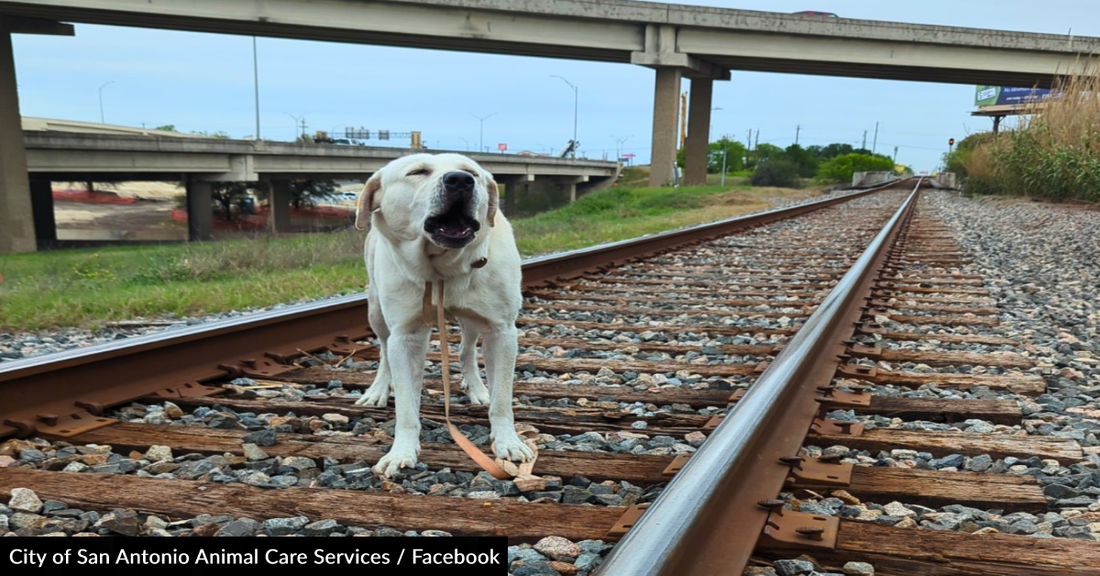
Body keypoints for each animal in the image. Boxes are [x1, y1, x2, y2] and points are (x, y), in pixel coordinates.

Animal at [354, 152, 534, 477]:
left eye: (471, 172)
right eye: (417, 172)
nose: (460, 181)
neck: (441, 269)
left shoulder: (502, 331)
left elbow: (502, 398)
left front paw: (508, 442)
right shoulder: (405, 336)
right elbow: (406, 406)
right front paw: (401, 451)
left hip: (474, 320)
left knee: (466, 350)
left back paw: (477, 388)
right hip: (376, 311)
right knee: (384, 352)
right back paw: (377, 390)